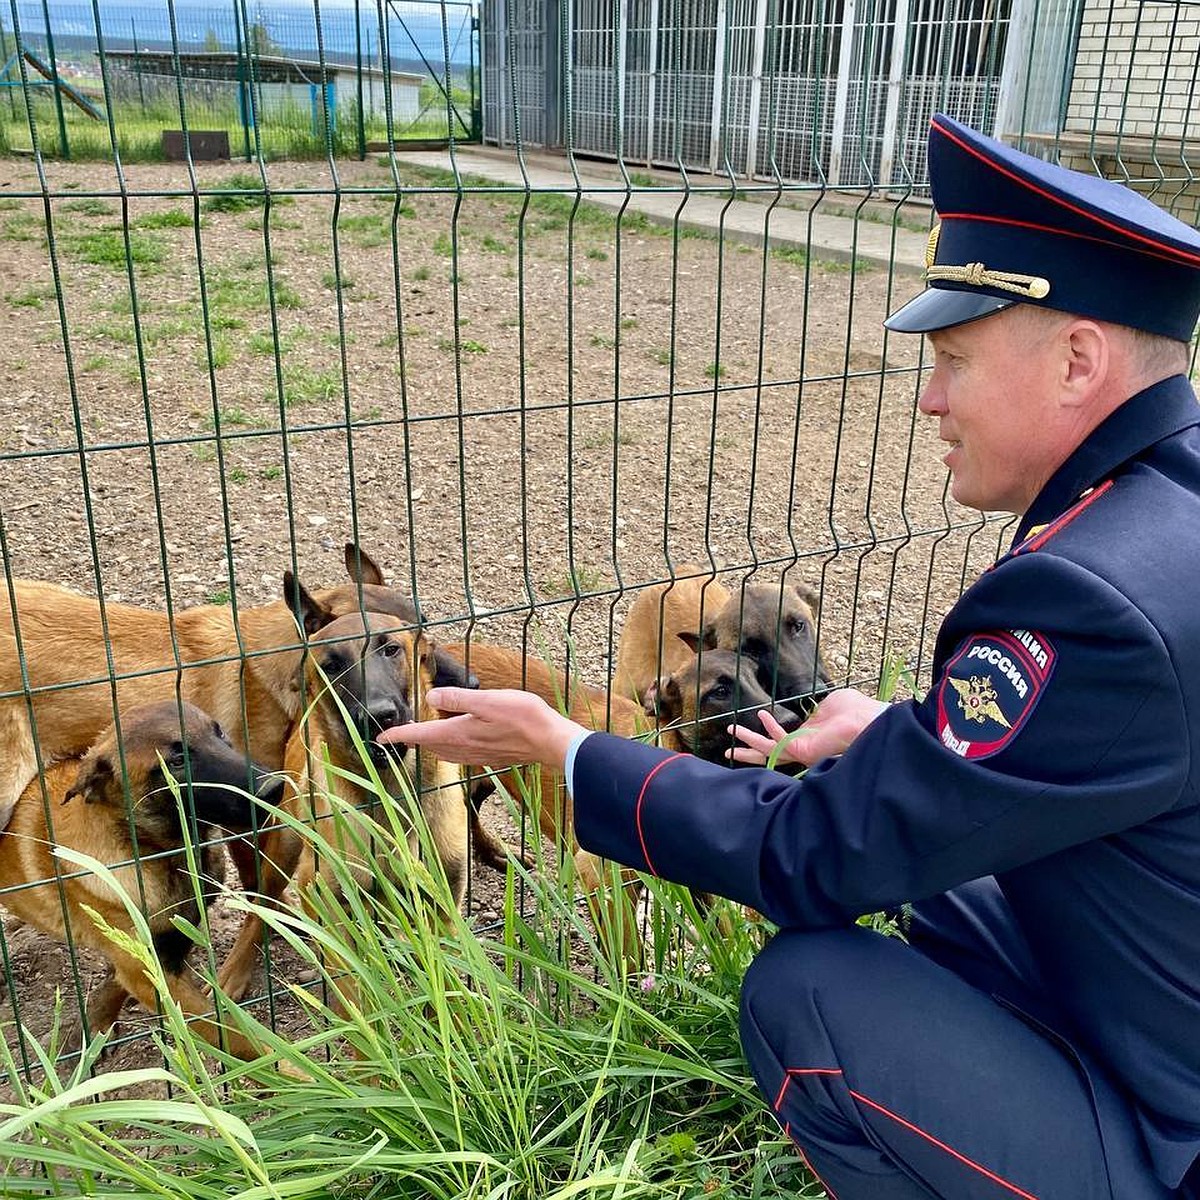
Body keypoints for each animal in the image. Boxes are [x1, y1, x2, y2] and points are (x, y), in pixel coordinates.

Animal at [0, 700, 284, 1060]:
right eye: (176, 761)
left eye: (219, 733)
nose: (274, 787)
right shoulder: (151, 973)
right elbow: (242, 1039)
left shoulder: (165, 948)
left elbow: (113, 985)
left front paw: (95, 1025)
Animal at [218, 580, 470, 1003]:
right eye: (332, 664)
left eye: (391, 649)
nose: (378, 716)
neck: (390, 792)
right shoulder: (330, 906)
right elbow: (357, 997)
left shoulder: (445, 900)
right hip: (285, 846)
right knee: (260, 906)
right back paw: (234, 971)